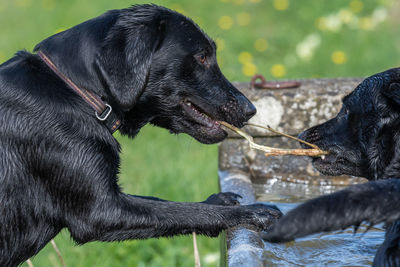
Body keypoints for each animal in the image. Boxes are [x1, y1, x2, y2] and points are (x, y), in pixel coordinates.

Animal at [0, 5, 282, 266]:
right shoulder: (102, 211)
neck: (76, 90)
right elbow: (183, 211)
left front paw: (218, 200)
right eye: (202, 57)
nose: (251, 109)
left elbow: (164, 202)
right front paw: (251, 213)